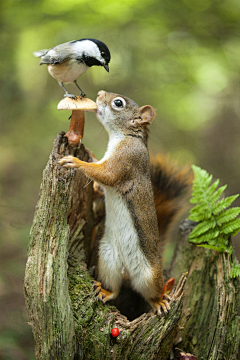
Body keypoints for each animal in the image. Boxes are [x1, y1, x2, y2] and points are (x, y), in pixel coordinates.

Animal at [59, 90, 192, 316]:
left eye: (118, 103)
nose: (99, 94)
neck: (124, 136)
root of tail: (127, 271)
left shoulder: (126, 161)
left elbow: (105, 174)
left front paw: (75, 162)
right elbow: (100, 178)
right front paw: (90, 158)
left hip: (149, 275)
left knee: (151, 293)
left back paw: (159, 302)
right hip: (107, 259)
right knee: (115, 288)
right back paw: (105, 291)